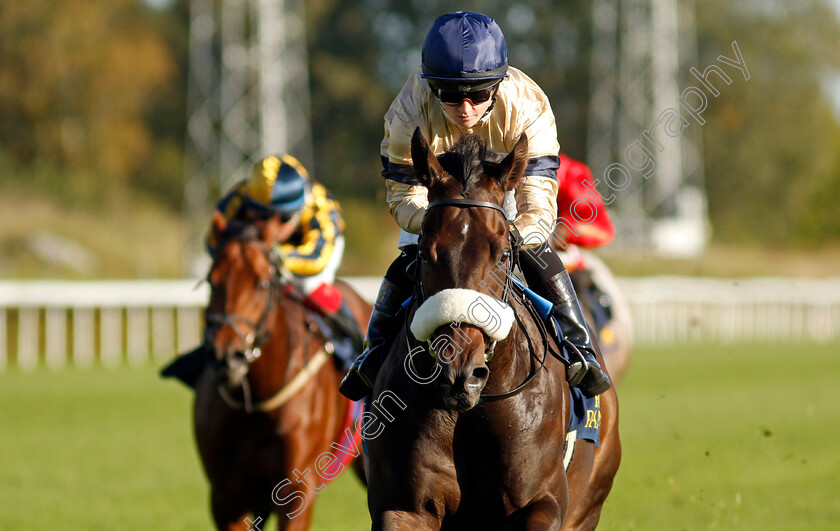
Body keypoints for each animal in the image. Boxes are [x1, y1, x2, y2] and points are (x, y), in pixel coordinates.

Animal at [196, 214, 370, 528]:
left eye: (262, 283)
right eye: (211, 281)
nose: (226, 357)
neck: (258, 400)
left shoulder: (297, 490)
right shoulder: (225, 498)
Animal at [364, 130, 620, 531]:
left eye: (502, 254)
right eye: (423, 253)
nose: (460, 373)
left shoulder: (542, 501)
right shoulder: (404, 507)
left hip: (588, 504)